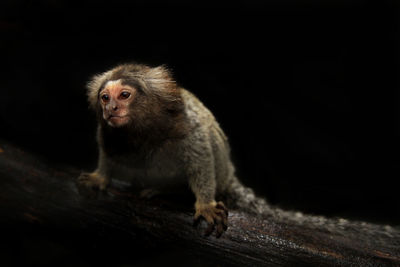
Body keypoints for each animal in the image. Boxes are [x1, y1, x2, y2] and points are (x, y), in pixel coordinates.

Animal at [77, 63, 268, 239]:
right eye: (105, 98)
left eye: (124, 95)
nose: (110, 109)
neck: (142, 130)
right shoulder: (107, 133)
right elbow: (107, 155)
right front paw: (100, 177)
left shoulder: (185, 124)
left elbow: (200, 158)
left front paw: (205, 204)